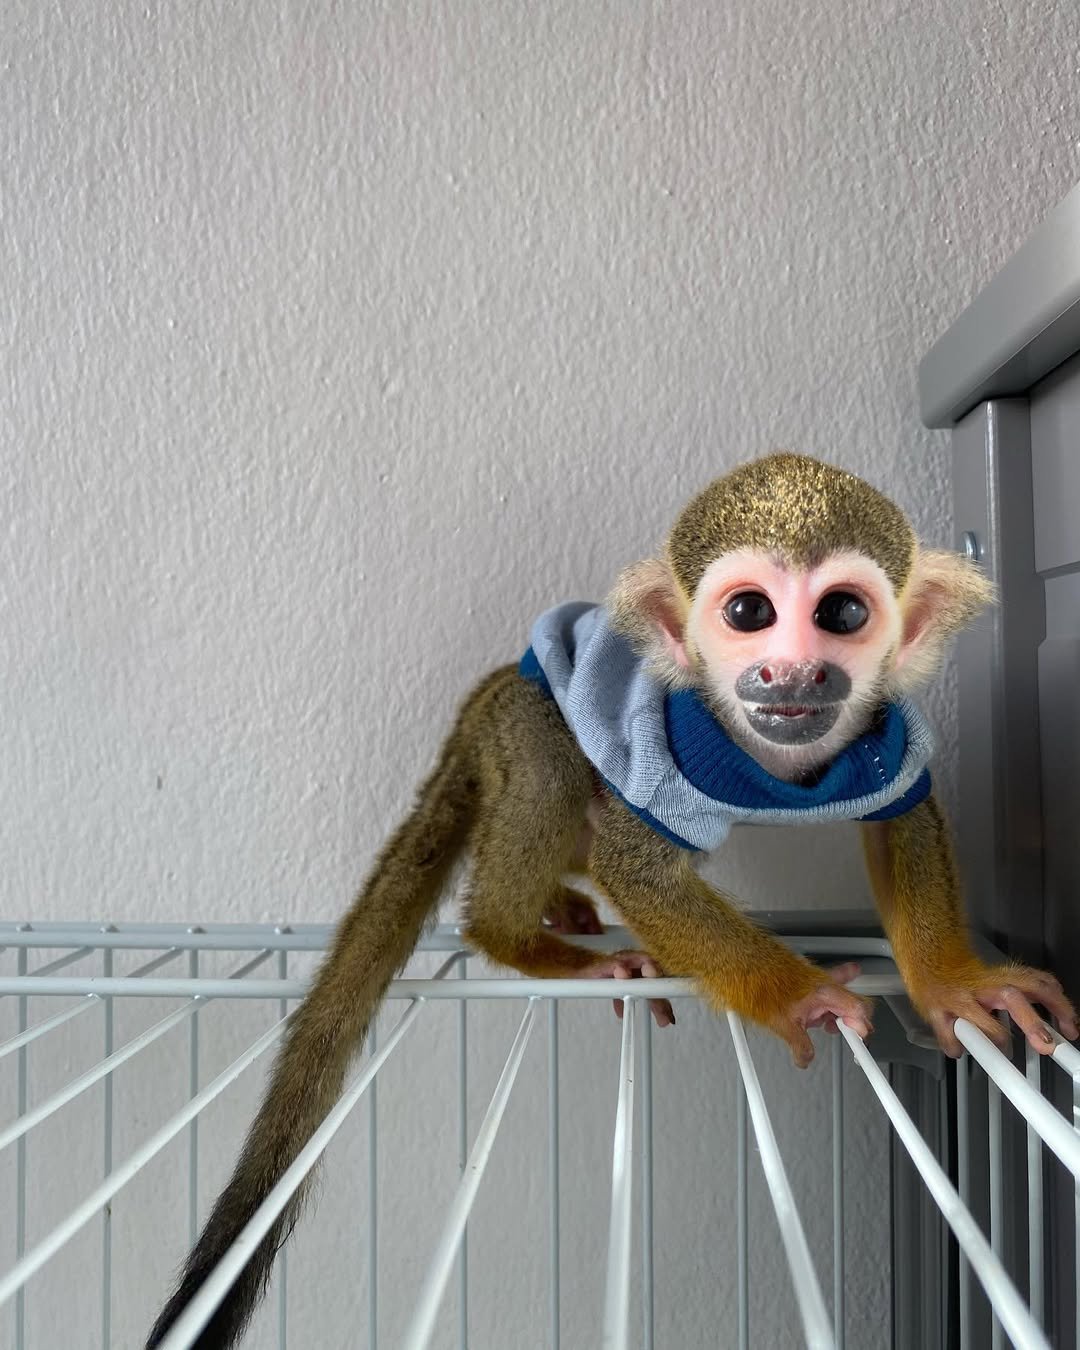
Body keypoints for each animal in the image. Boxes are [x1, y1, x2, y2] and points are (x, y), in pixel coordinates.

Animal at [148, 452, 1077, 1349]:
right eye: (749, 611)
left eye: (843, 613)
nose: (791, 672)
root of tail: (491, 690)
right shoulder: (677, 753)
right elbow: (639, 870)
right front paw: (802, 996)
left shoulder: (887, 737)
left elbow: (902, 821)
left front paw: (953, 984)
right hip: (529, 722)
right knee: (556, 779)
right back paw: (516, 934)